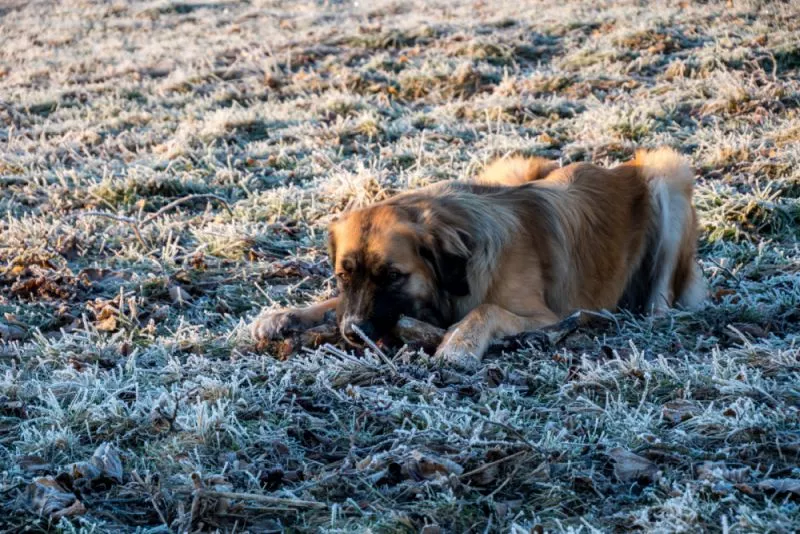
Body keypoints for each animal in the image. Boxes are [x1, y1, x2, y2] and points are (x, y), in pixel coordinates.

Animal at [250, 149, 708, 370]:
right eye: (344, 276)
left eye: (393, 276)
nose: (352, 333)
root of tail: (616, 167)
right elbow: (329, 303)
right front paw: (284, 315)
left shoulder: (545, 313)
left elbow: (486, 309)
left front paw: (459, 343)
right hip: (512, 168)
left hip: (666, 172)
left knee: (663, 296)